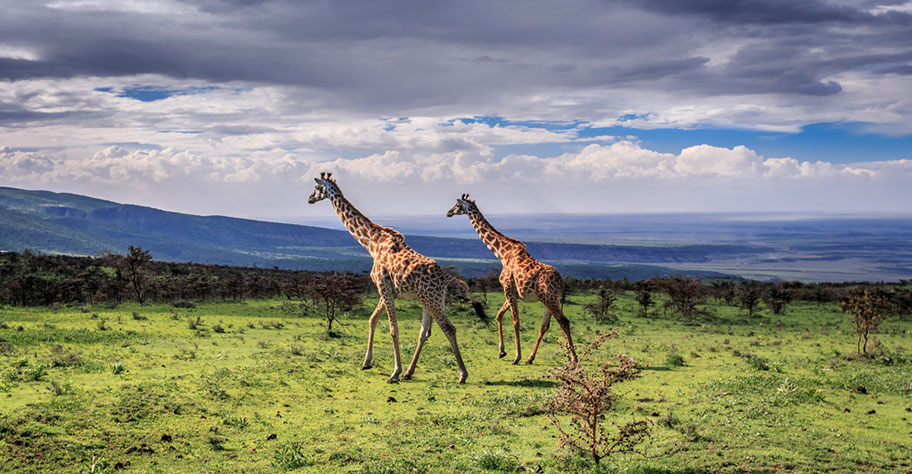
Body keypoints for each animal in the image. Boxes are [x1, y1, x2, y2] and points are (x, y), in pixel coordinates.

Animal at [310, 172, 480, 384]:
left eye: (317, 188)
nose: (309, 199)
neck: (372, 244)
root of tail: (447, 277)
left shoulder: (383, 286)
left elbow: (393, 329)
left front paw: (394, 372)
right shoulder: (388, 290)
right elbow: (373, 319)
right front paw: (367, 362)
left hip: (431, 300)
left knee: (449, 328)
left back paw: (462, 374)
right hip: (430, 300)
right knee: (425, 332)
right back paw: (410, 372)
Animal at [448, 194, 576, 364]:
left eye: (457, 205)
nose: (448, 212)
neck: (502, 254)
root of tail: (561, 283)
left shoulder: (507, 287)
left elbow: (516, 321)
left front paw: (516, 357)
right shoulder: (513, 292)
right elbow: (499, 315)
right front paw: (502, 352)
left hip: (550, 299)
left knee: (564, 321)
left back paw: (574, 358)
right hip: (548, 300)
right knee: (545, 326)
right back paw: (531, 358)